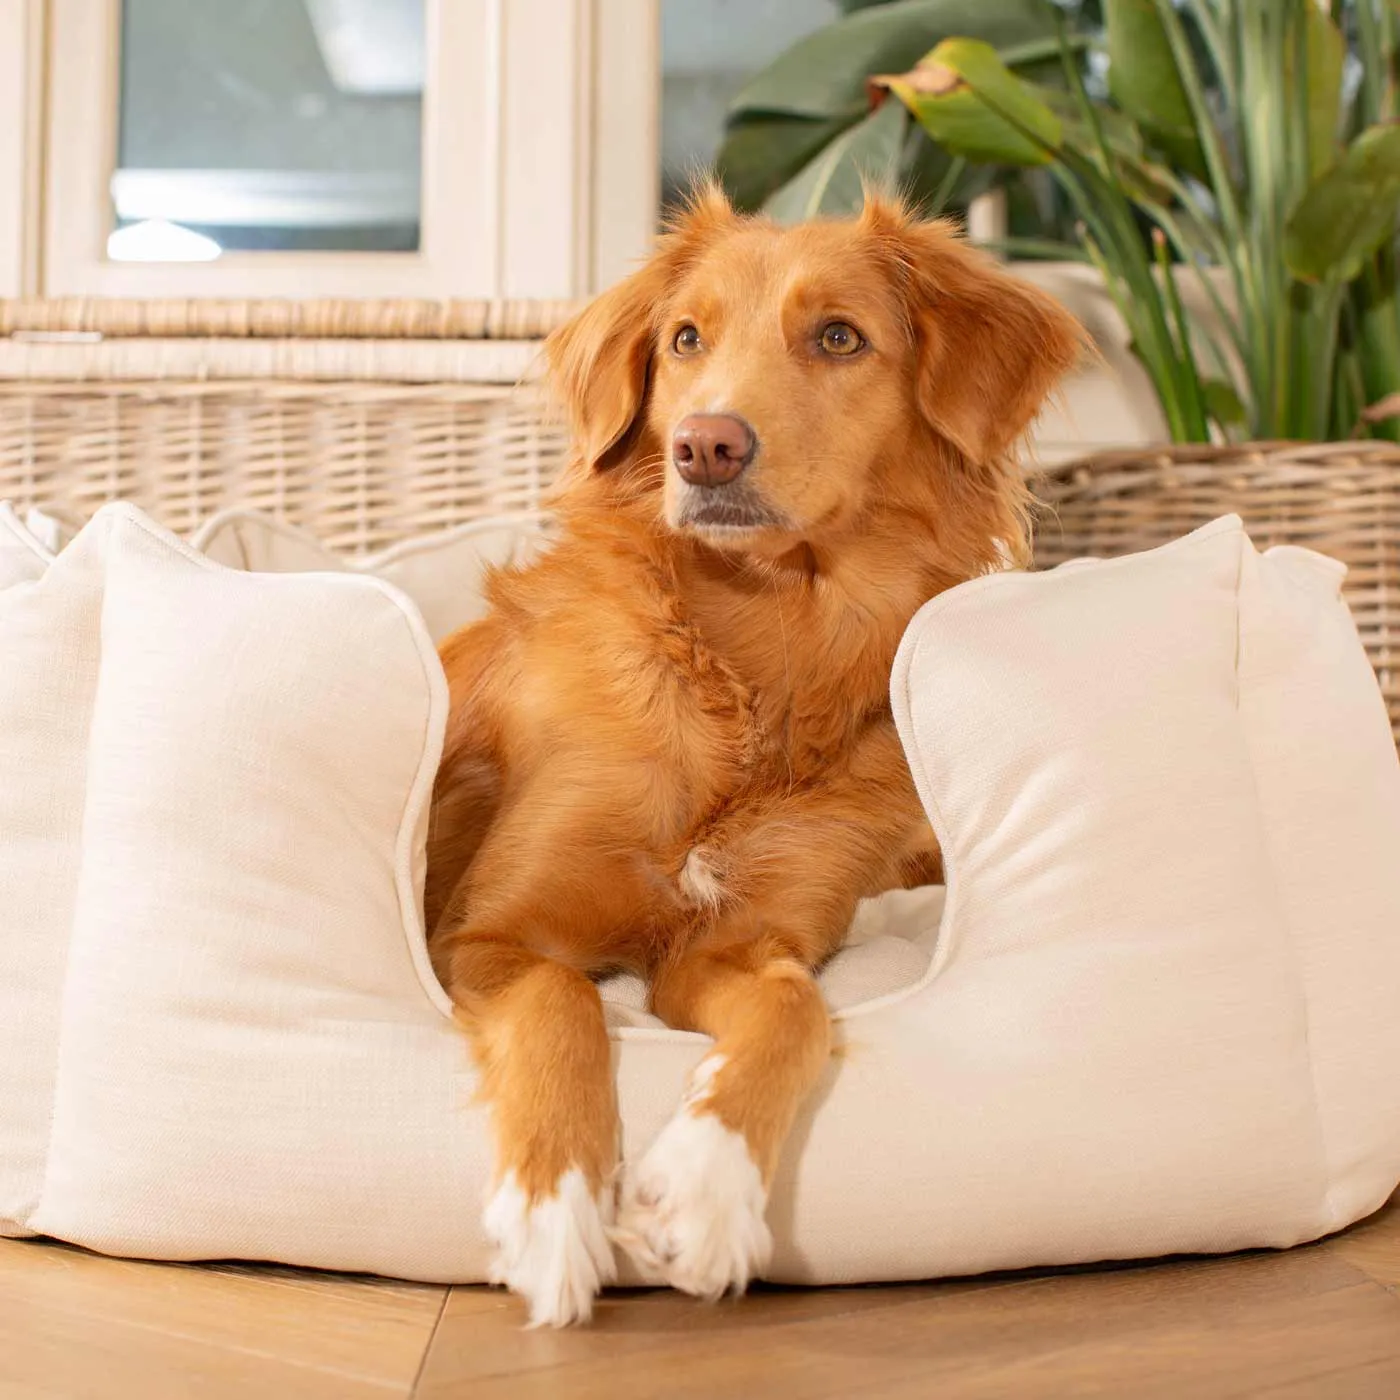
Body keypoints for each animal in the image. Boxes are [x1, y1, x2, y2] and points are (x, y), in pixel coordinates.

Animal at [425, 183, 1080, 1321]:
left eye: (839, 337)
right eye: (685, 338)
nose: (705, 447)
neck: (756, 654)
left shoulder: (728, 945)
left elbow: (794, 1004)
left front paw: (707, 1182)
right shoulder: (483, 933)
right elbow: (562, 999)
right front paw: (553, 1205)